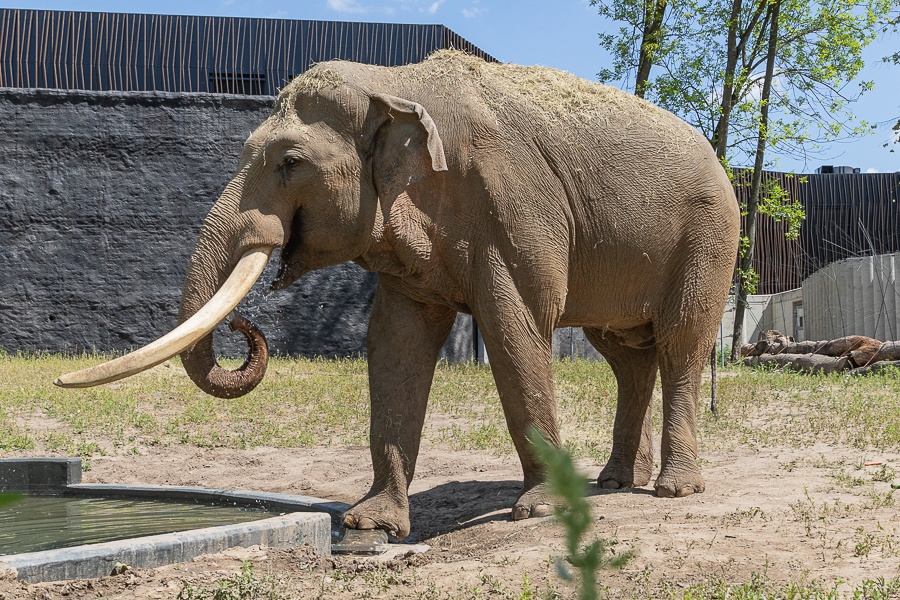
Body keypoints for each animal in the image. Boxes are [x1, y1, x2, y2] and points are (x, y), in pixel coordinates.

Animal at [59, 50, 740, 540]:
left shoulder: (515, 208)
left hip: (709, 236)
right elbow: (394, 342)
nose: (242, 330)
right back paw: (613, 482)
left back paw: (673, 488)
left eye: (289, 162)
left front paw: (539, 510)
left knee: (680, 340)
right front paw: (372, 523)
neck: (396, 83)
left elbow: (516, 330)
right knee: (627, 354)